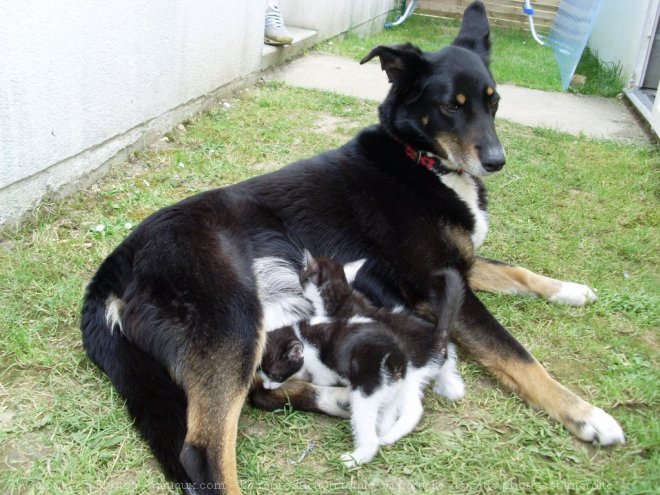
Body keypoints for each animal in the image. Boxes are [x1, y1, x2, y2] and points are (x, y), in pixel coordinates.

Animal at [80, 1, 620, 494]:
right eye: (451, 105)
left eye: (494, 101)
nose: (496, 161)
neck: (419, 160)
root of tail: (113, 268)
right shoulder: (438, 285)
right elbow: (517, 355)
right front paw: (587, 414)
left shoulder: (458, 264)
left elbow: (515, 271)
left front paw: (571, 290)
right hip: (233, 322)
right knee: (205, 450)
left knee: (263, 392)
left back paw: (338, 399)